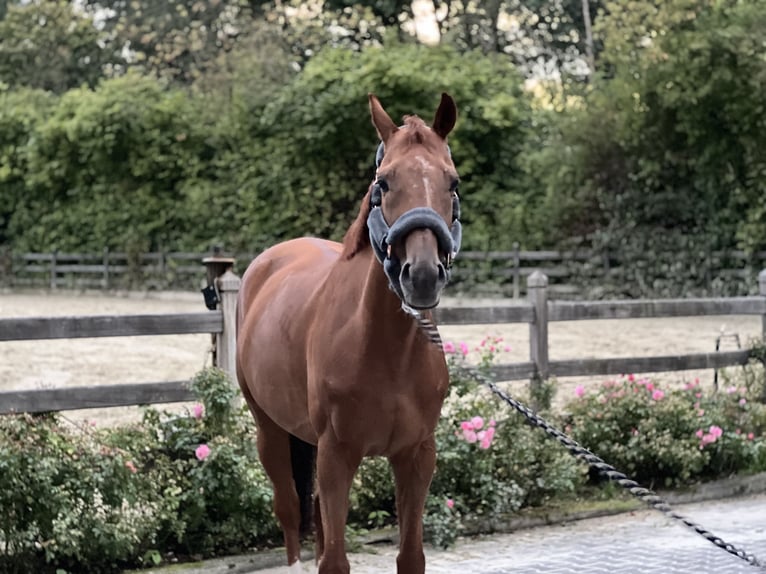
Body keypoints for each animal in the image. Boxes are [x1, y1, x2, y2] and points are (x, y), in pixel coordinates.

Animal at [237, 94, 462, 574]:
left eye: (452, 182)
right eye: (384, 181)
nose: (421, 276)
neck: (383, 348)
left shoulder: (416, 456)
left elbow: (410, 556)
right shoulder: (337, 455)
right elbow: (335, 561)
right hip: (270, 431)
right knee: (289, 512)